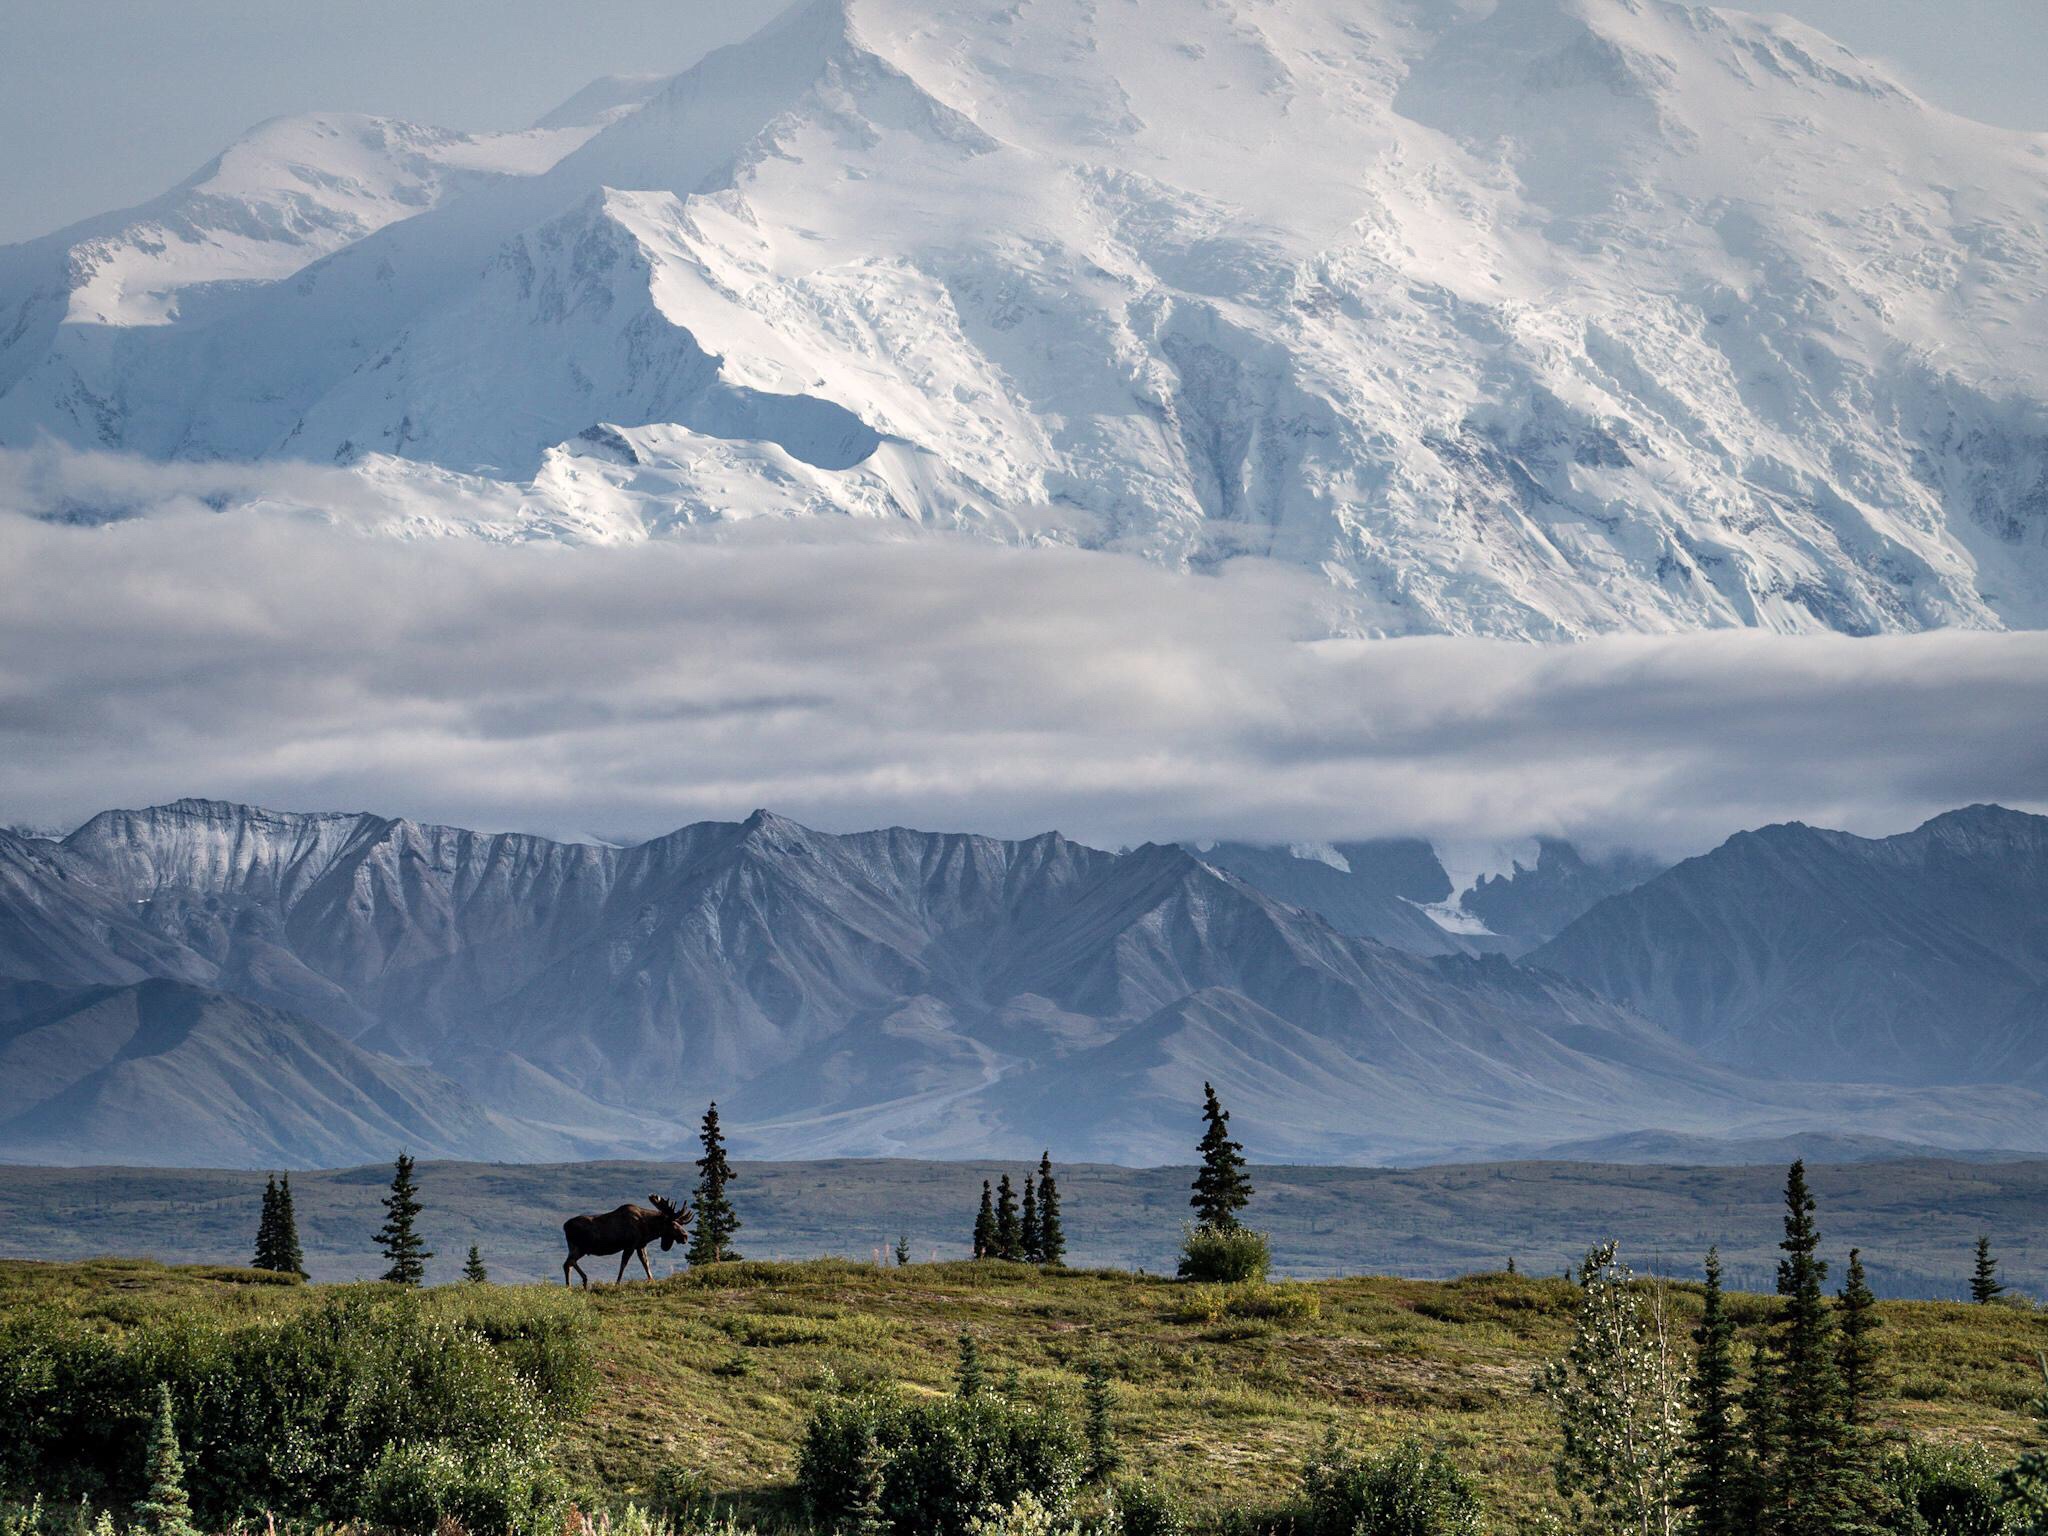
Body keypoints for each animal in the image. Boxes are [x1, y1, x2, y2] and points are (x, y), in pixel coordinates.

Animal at [561, 1196, 696, 1294]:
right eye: (673, 1224)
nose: (685, 1236)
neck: (648, 1228)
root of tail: (565, 1226)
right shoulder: (630, 1245)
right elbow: (624, 1264)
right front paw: (617, 1283)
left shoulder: (640, 1245)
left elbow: (646, 1263)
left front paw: (651, 1280)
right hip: (580, 1247)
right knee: (570, 1262)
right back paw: (584, 1280)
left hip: (575, 1248)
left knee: (567, 1264)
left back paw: (569, 1286)